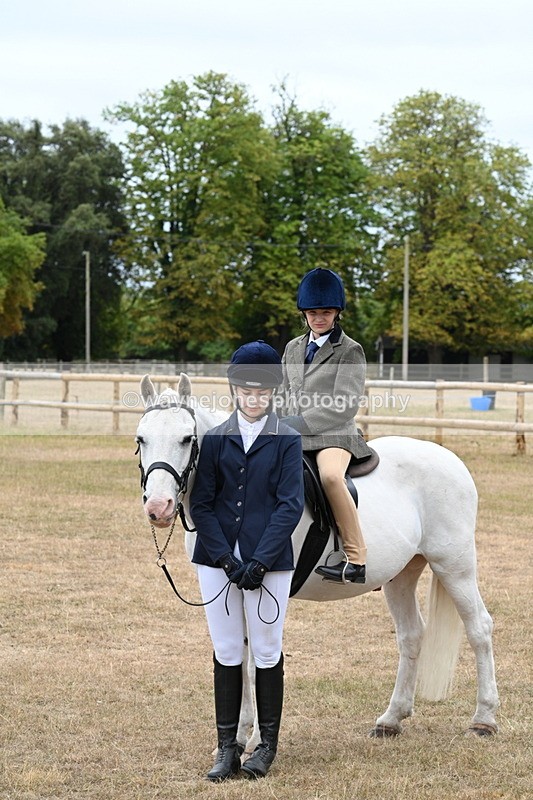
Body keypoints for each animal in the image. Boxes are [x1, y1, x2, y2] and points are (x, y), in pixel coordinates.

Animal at [135, 373, 499, 751]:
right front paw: (237, 738)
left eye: (186, 439)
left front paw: (253, 741)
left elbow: (256, 660)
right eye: (141, 438)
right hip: (402, 575)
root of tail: (452, 461)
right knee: (411, 635)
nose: (158, 507)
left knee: (479, 628)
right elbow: (241, 655)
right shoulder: (229, 585)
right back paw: (391, 719)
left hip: (454, 566)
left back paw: (484, 719)